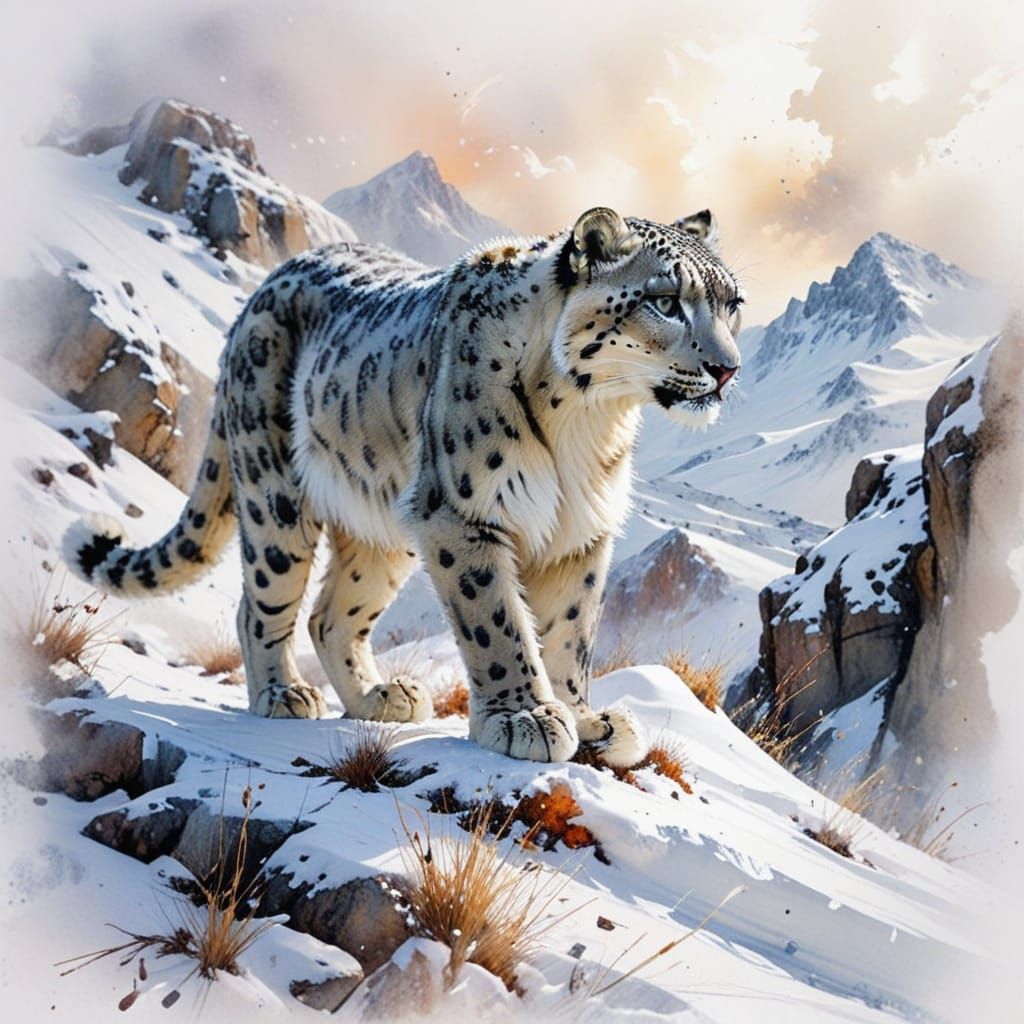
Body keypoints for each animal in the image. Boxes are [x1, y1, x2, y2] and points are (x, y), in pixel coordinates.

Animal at [64, 206, 744, 767]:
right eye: (665, 300)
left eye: (732, 303)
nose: (727, 368)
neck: (590, 421)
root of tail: (264, 287)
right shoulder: (463, 513)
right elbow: (496, 621)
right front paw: (524, 718)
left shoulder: (582, 531)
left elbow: (571, 630)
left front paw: (586, 719)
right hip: (275, 494)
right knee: (264, 599)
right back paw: (284, 693)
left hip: (381, 526)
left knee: (332, 615)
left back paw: (376, 695)